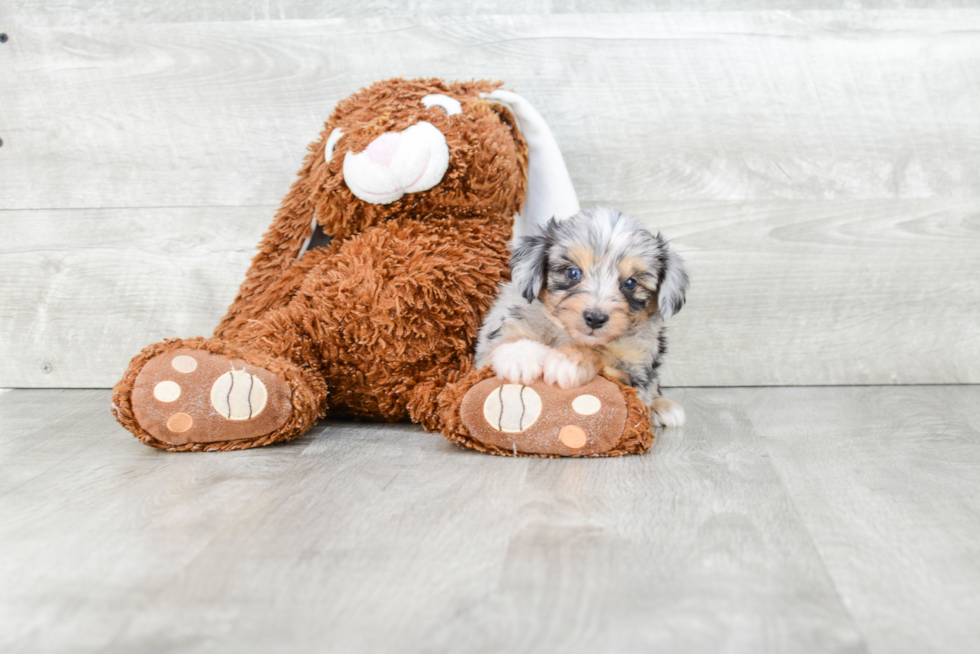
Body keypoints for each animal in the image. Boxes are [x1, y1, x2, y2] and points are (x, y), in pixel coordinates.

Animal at [474, 208, 688, 428]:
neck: (568, 334)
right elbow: (503, 339)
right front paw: (519, 354)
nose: (595, 318)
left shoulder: (637, 371)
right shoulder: (491, 344)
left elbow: (601, 353)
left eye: (630, 283)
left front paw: (570, 359)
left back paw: (663, 406)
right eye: (573, 273)